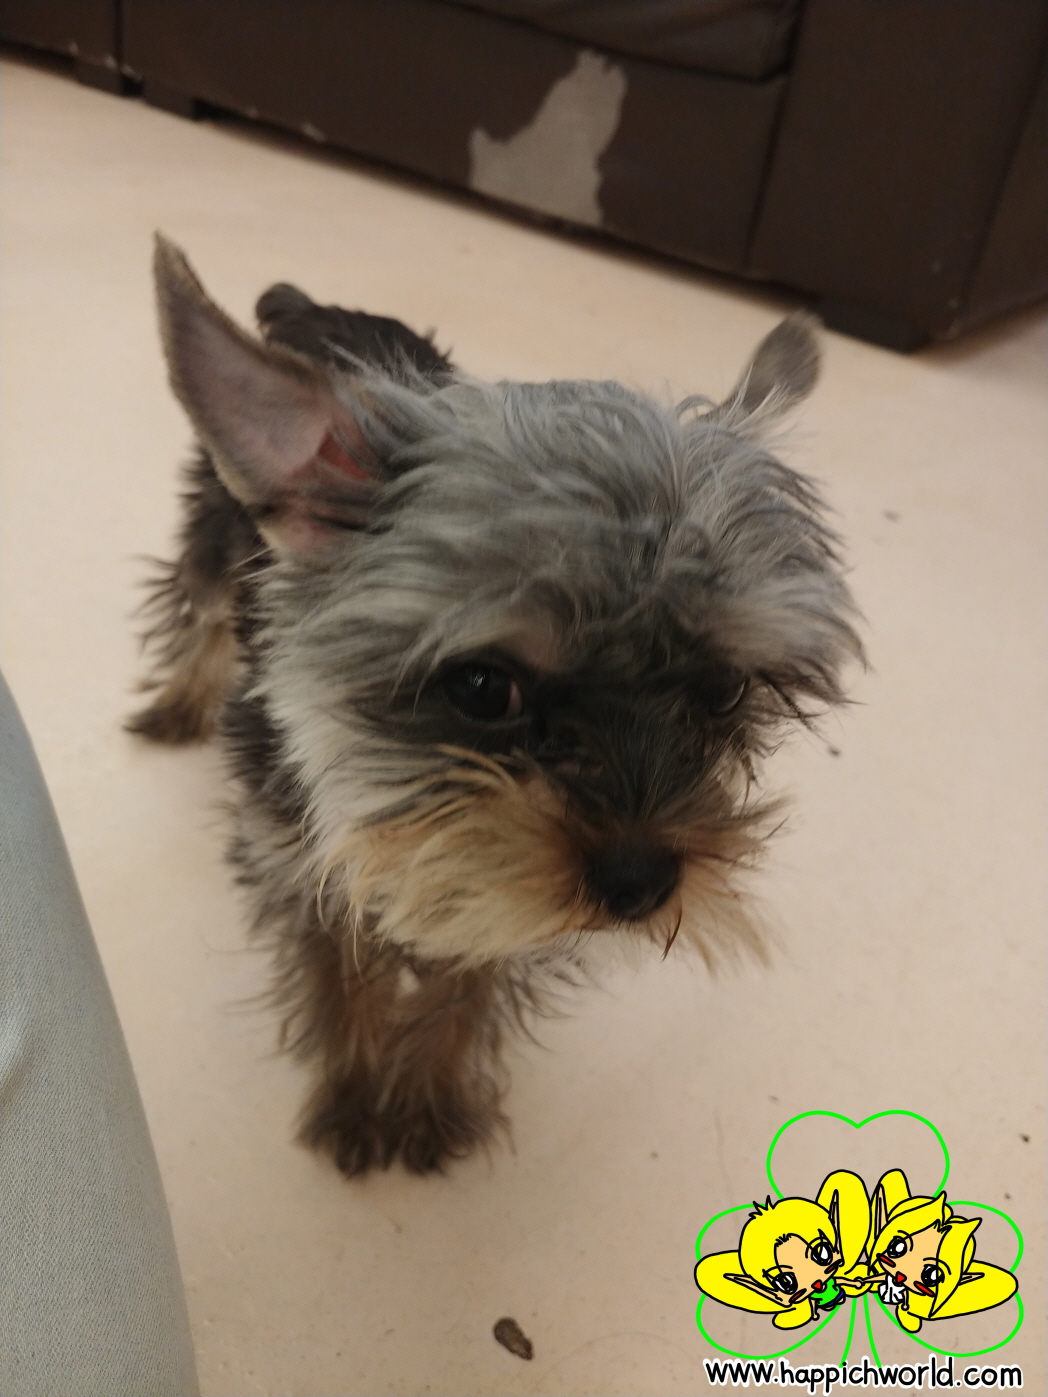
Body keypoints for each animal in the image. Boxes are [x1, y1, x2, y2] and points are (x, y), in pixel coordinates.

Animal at [130, 236, 861, 1176]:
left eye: (724, 689)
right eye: (483, 687)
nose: (642, 882)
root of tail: (317, 307)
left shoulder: (491, 879)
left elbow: (470, 973)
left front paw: (425, 1098)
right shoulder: (300, 856)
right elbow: (341, 969)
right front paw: (356, 1096)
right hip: (218, 527)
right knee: (200, 605)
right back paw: (177, 703)